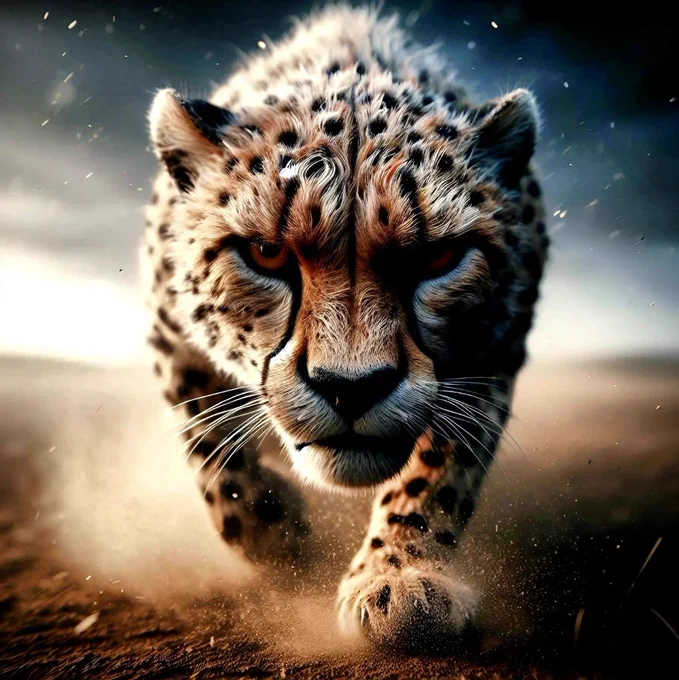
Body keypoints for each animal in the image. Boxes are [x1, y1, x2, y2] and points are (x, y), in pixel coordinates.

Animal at [141, 4, 549, 650]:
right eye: (265, 254)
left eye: (437, 258)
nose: (351, 388)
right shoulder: (172, 336)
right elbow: (210, 450)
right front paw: (276, 538)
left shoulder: (493, 353)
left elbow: (439, 473)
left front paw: (403, 575)